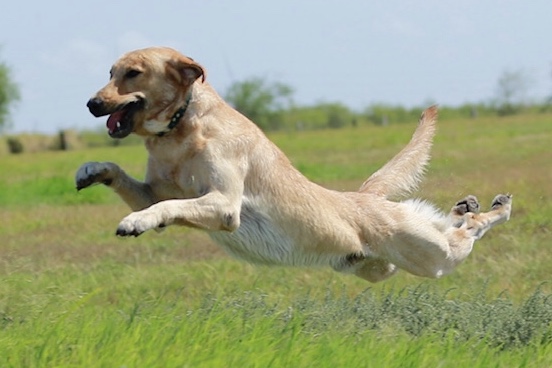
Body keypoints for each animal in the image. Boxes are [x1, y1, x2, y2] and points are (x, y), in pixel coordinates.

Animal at [74, 46, 512, 282]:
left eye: (133, 73)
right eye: (110, 72)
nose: (92, 104)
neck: (179, 131)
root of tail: (362, 197)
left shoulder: (224, 204)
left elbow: (167, 206)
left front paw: (135, 223)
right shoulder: (152, 190)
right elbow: (131, 180)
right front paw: (91, 170)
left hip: (432, 257)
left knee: (472, 230)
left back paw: (496, 206)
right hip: (380, 268)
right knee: (449, 223)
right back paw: (464, 205)